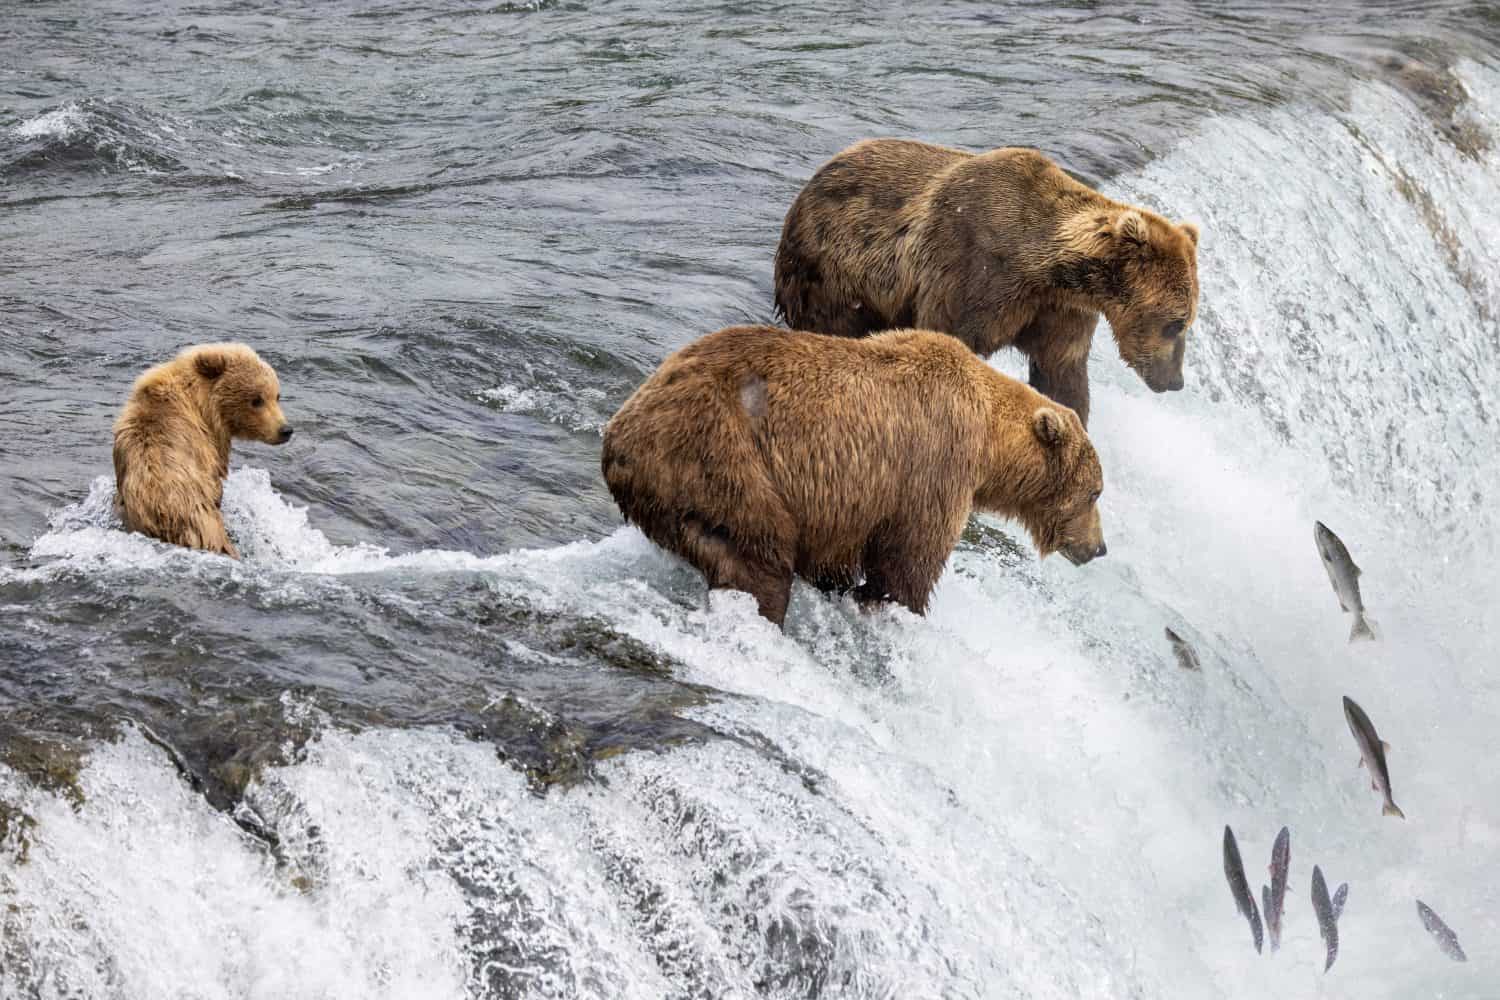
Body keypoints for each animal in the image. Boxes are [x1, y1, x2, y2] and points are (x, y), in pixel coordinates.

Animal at [601, 324, 1106, 627]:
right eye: (1096, 493)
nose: (1098, 548)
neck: (988, 442)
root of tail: (618, 439)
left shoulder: (853, 510)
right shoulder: (934, 468)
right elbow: (908, 564)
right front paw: (893, 604)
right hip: (725, 464)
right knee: (759, 563)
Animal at [773, 138, 1201, 426]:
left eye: (1188, 322)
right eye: (1175, 323)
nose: (1175, 381)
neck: (1046, 268)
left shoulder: (1059, 312)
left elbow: (1062, 376)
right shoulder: (970, 270)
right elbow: (948, 344)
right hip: (834, 275)